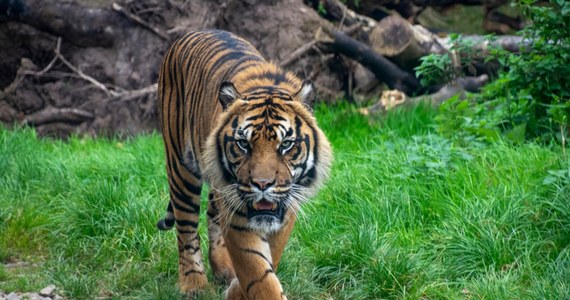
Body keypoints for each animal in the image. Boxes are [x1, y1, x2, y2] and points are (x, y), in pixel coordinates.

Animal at [155, 28, 332, 300]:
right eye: (243, 144)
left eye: (285, 144)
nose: (262, 184)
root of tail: (193, 32)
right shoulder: (238, 215)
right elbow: (258, 273)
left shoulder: (286, 209)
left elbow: (268, 259)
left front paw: (236, 288)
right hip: (180, 166)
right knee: (186, 227)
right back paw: (193, 284)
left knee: (212, 212)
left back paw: (224, 268)